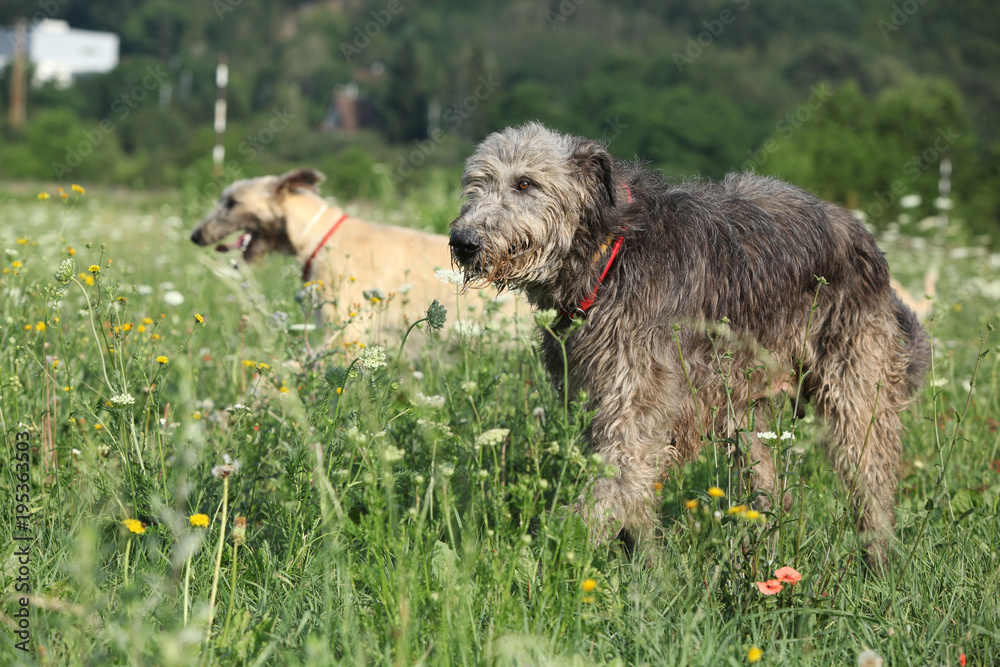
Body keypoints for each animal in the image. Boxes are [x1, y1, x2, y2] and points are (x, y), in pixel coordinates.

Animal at [454, 121, 928, 568]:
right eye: (476, 183)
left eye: (525, 184)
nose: (463, 242)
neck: (609, 254)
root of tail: (863, 235)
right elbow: (633, 495)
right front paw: (649, 572)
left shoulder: (635, 400)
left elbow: (613, 487)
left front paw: (547, 566)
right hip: (746, 406)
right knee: (772, 490)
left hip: (854, 383)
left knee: (869, 475)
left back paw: (879, 566)